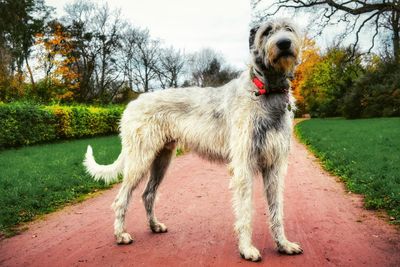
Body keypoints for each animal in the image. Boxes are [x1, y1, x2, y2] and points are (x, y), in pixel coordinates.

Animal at [85, 19, 304, 264]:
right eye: (267, 32)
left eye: (289, 29)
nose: (284, 43)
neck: (266, 89)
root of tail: (132, 104)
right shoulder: (243, 166)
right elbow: (245, 211)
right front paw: (247, 249)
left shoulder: (275, 166)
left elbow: (277, 210)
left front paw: (283, 244)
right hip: (139, 159)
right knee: (121, 199)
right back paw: (120, 234)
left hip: (162, 159)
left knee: (148, 194)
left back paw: (154, 226)